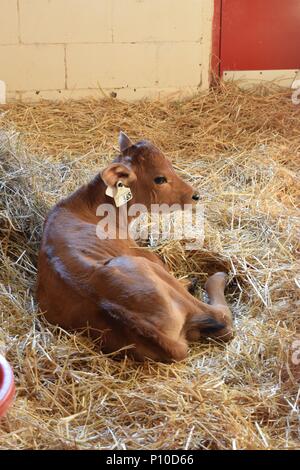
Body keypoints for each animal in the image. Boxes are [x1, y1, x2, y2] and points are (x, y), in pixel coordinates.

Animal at [37, 134, 233, 362]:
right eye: (160, 179)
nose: (195, 195)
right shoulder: (148, 256)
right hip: (144, 265)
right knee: (221, 318)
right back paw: (213, 279)